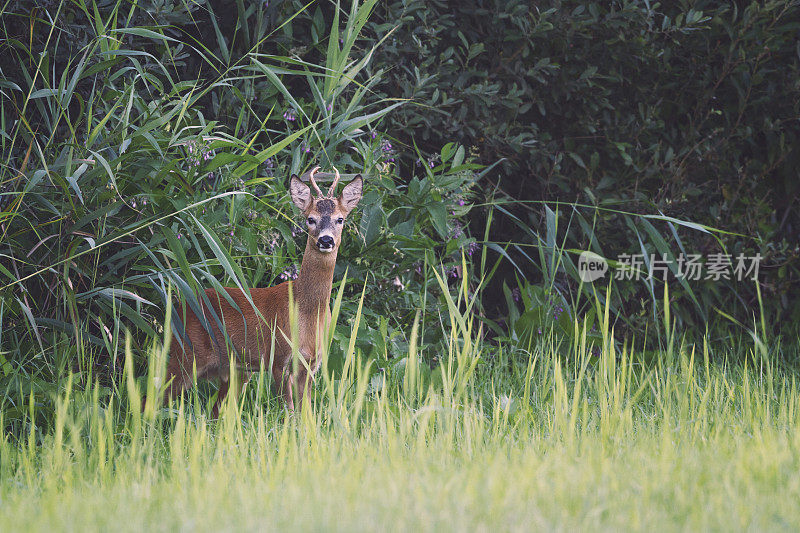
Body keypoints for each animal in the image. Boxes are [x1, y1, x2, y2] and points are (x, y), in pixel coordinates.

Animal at [162, 167, 362, 416]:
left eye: (340, 219)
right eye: (310, 219)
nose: (326, 240)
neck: (306, 312)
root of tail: (180, 305)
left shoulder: (311, 363)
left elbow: (306, 414)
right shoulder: (278, 357)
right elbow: (289, 413)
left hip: (234, 370)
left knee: (215, 412)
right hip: (186, 354)